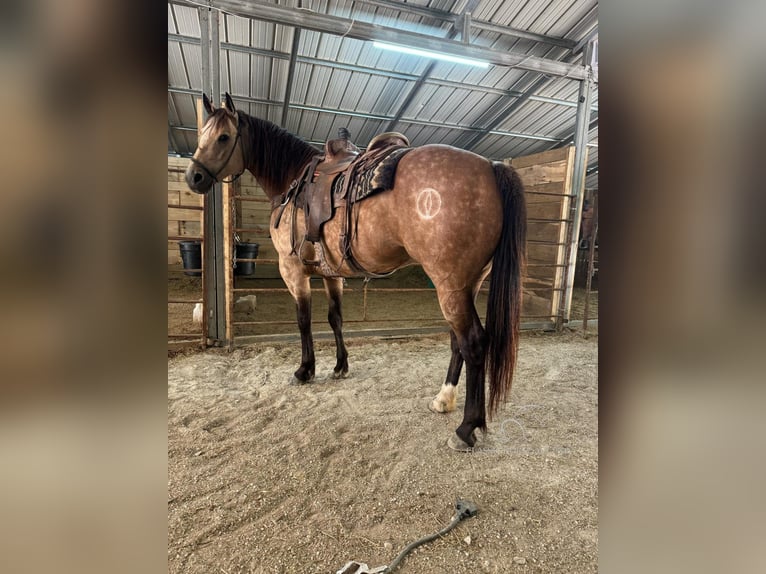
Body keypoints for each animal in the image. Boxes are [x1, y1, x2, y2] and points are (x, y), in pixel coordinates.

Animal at [184, 93, 528, 454]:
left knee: (473, 343)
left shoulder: (293, 270)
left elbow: (304, 321)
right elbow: (335, 318)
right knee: (457, 341)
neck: (293, 182)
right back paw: (444, 399)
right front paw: (340, 366)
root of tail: (491, 166)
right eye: (202, 134)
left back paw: (466, 428)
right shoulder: (331, 274)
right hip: (466, 285)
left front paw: (305, 370)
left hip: (449, 285)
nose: (193, 177)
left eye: (223, 137)